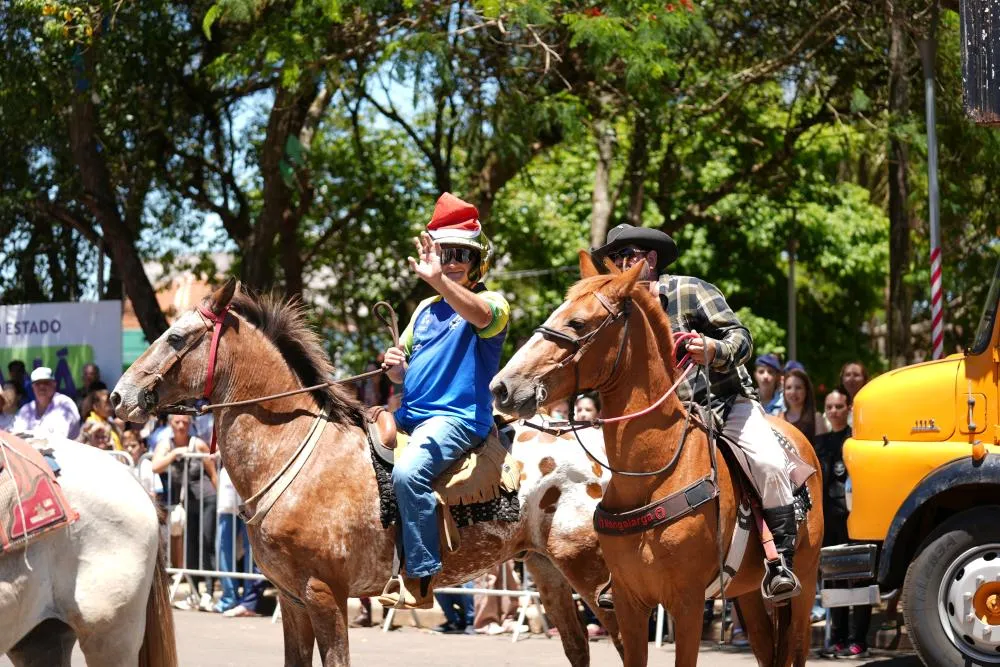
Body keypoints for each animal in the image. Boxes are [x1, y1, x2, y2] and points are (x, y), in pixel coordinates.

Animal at [109, 278, 623, 667]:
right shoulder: (292, 600)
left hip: (595, 577)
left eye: (176, 338)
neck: (294, 455)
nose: (119, 395)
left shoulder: (324, 595)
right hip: (546, 568)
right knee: (578, 647)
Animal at [490, 252, 824, 667]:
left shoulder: (687, 604)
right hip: (747, 592)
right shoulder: (629, 603)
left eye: (577, 322)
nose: (502, 387)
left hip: (805, 584)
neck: (651, 475)